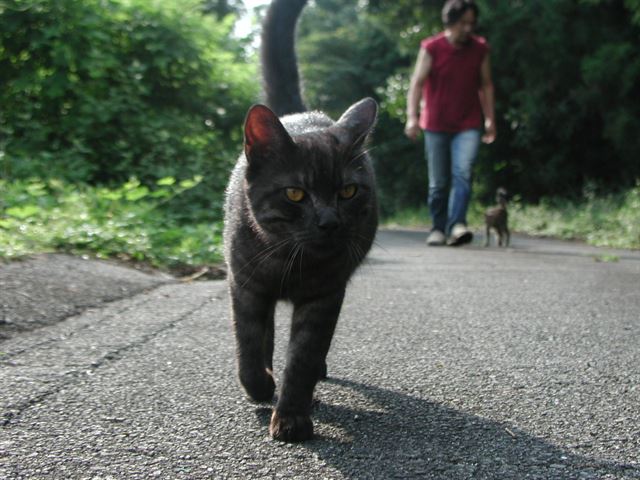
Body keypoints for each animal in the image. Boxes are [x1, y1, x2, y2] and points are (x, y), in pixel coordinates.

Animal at [222, 0, 378, 442]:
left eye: (348, 191)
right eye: (296, 194)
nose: (329, 222)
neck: (286, 260)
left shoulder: (324, 294)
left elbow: (304, 356)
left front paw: (291, 416)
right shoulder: (246, 286)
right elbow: (248, 344)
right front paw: (260, 385)